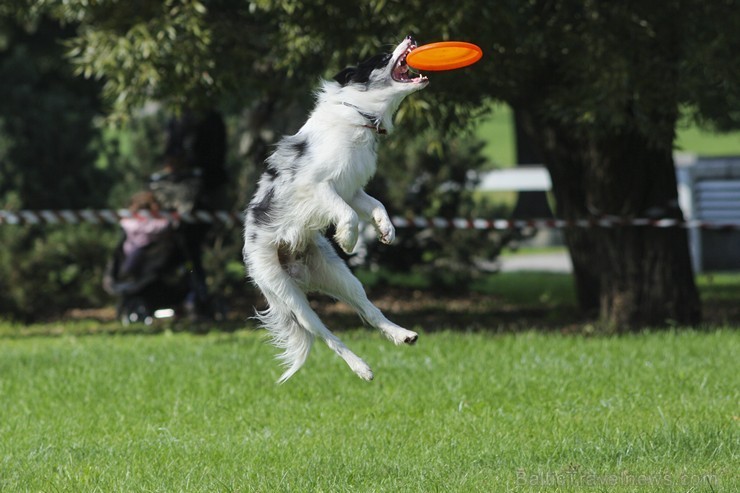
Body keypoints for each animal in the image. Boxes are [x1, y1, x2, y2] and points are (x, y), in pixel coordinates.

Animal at [244, 36, 428, 382]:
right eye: (383, 57)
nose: (410, 38)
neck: (360, 116)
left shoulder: (353, 188)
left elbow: (377, 205)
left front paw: (387, 230)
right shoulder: (317, 187)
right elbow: (346, 212)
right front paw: (348, 239)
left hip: (340, 276)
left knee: (368, 309)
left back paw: (402, 334)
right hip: (286, 293)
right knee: (325, 334)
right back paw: (361, 367)